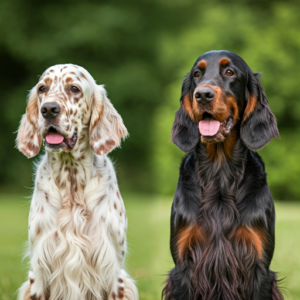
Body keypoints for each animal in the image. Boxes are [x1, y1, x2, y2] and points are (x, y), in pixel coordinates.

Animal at [16, 63, 138, 300]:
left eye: (74, 88)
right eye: (42, 88)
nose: (49, 110)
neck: (71, 183)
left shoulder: (114, 272)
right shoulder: (38, 272)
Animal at [163, 51, 282, 300]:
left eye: (229, 72)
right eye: (197, 74)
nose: (202, 95)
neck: (220, 174)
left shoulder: (259, 265)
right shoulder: (184, 264)